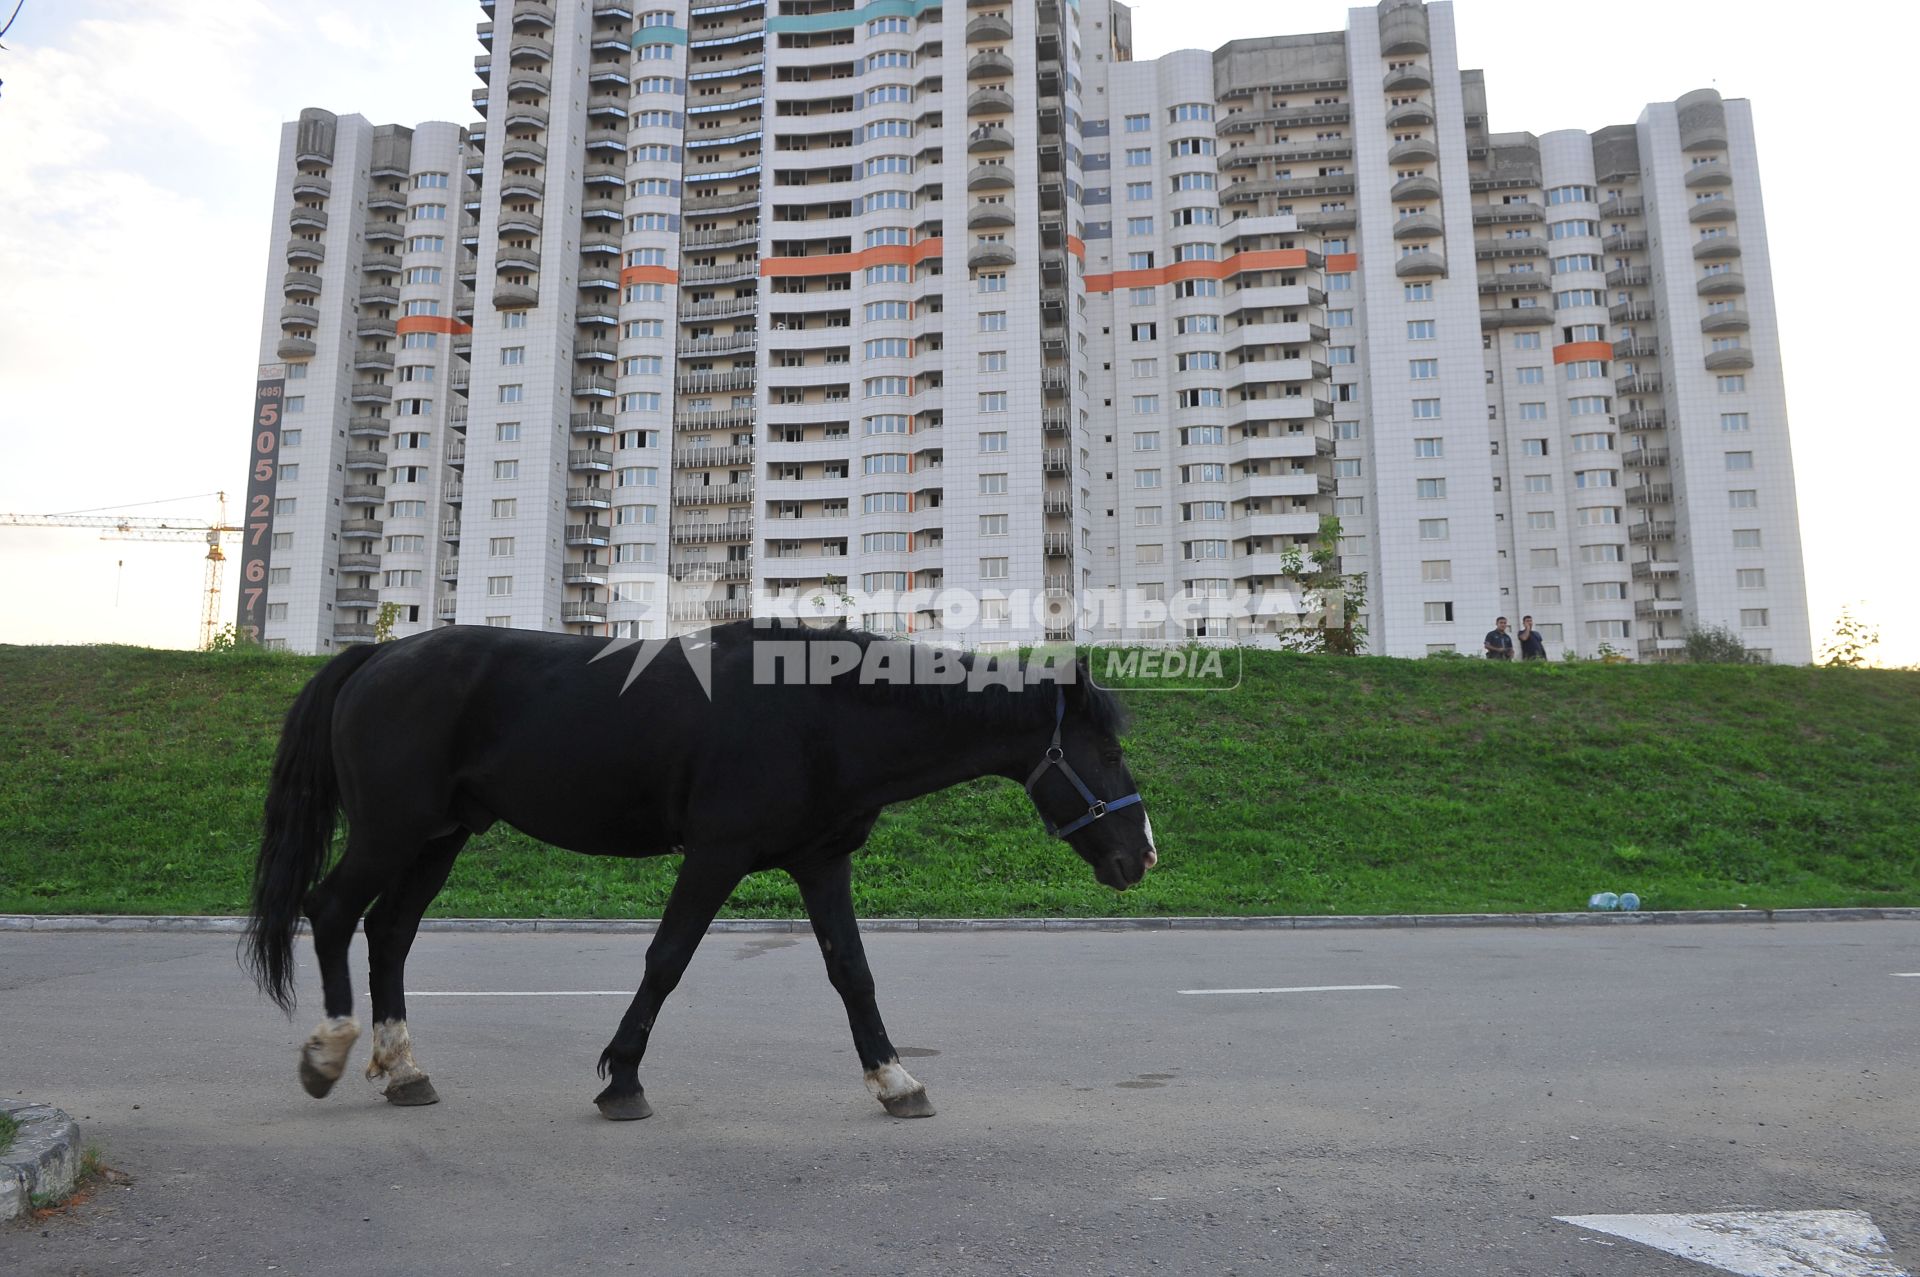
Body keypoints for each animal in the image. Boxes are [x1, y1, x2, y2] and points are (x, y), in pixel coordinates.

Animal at [241, 622, 1152, 1121]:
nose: (1140, 853)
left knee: (389, 930)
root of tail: (380, 653)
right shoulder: (716, 855)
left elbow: (851, 971)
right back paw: (328, 1053)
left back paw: (404, 1069)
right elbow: (667, 960)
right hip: (391, 830)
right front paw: (622, 1079)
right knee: (332, 910)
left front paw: (895, 1079)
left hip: (439, 837)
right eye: (1107, 751)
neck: (819, 710)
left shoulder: (820, 862)